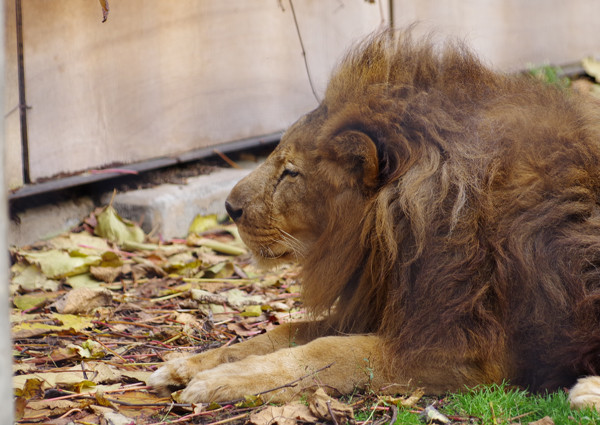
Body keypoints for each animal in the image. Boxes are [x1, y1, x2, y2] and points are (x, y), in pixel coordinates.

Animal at [151, 29, 600, 408]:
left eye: (291, 172)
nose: (229, 208)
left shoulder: (465, 350)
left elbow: (331, 351)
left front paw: (221, 381)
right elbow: (284, 332)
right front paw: (189, 364)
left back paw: (586, 392)